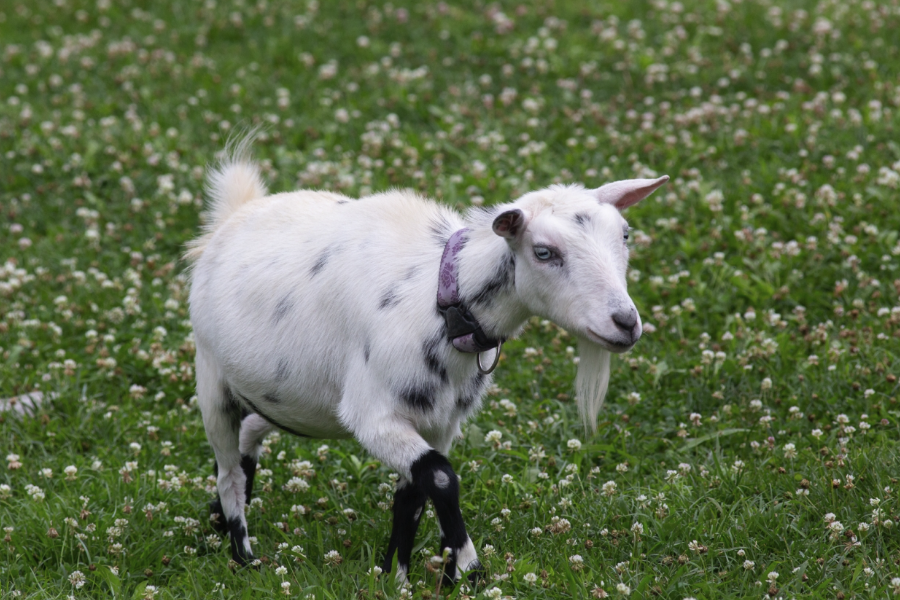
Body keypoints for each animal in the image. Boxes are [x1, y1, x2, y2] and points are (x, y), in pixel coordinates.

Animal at [186, 136, 668, 580]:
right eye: (544, 252)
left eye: (625, 235)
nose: (626, 323)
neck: (438, 299)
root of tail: (236, 212)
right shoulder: (374, 415)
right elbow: (439, 477)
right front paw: (470, 570)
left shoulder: (439, 420)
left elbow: (412, 496)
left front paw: (397, 576)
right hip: (211, 379)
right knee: (228, 469)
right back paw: (243, 553)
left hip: (288, 398)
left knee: (250, 433)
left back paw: (218, 522)